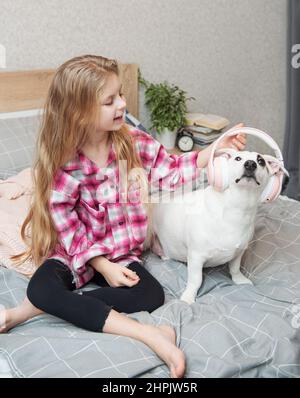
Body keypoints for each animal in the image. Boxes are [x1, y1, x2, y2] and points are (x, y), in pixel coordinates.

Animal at [149, 127, 290, 304]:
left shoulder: (239, 252)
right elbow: (195, 280)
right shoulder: (196, 257)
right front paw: (188, 296)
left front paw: (239, 279)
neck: (237, 207)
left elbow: (235, 268)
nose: (250, 164)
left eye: (261, 161)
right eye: (238, 158)